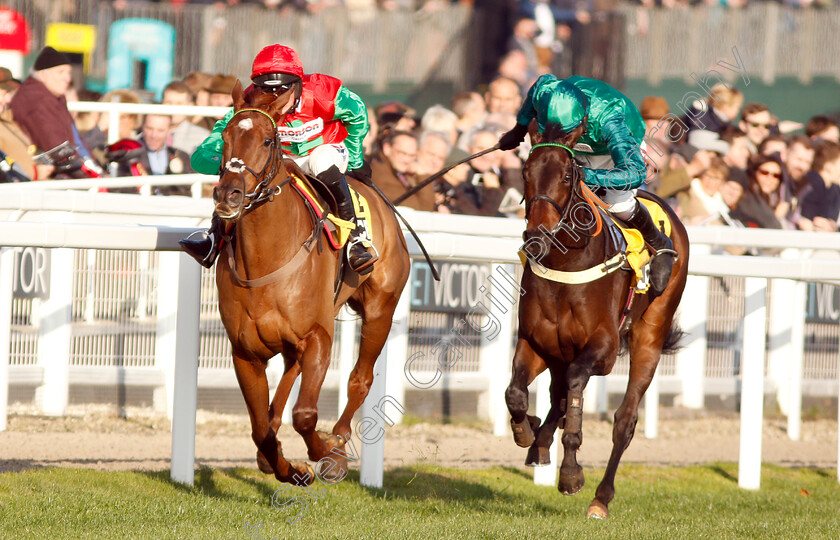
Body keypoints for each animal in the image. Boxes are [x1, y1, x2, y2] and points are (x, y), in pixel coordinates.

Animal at [213, 81, 410, 486]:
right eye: (224, 136)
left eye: (268, 139)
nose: (228, 195)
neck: (266, 259)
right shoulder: (245, 352)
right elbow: (260, 428)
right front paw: (290, 469)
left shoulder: (319, 336)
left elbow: (305, 415)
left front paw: (327, 452)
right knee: (288, 376)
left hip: (381, 309)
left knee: (359, 379)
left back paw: (338, 440)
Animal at [506, 123, 688, 520]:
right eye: (525, 172)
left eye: (567, 175)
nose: (536, 236)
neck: (565, 263)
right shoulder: (537, 343)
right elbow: (516, 393)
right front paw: (526, 432)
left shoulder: (602, 349)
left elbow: (575, 389)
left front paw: (571, 473)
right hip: (560, 351)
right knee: (557, 396)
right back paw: (539, 444)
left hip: (650, 336)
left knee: (624, 421)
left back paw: (600, 499)